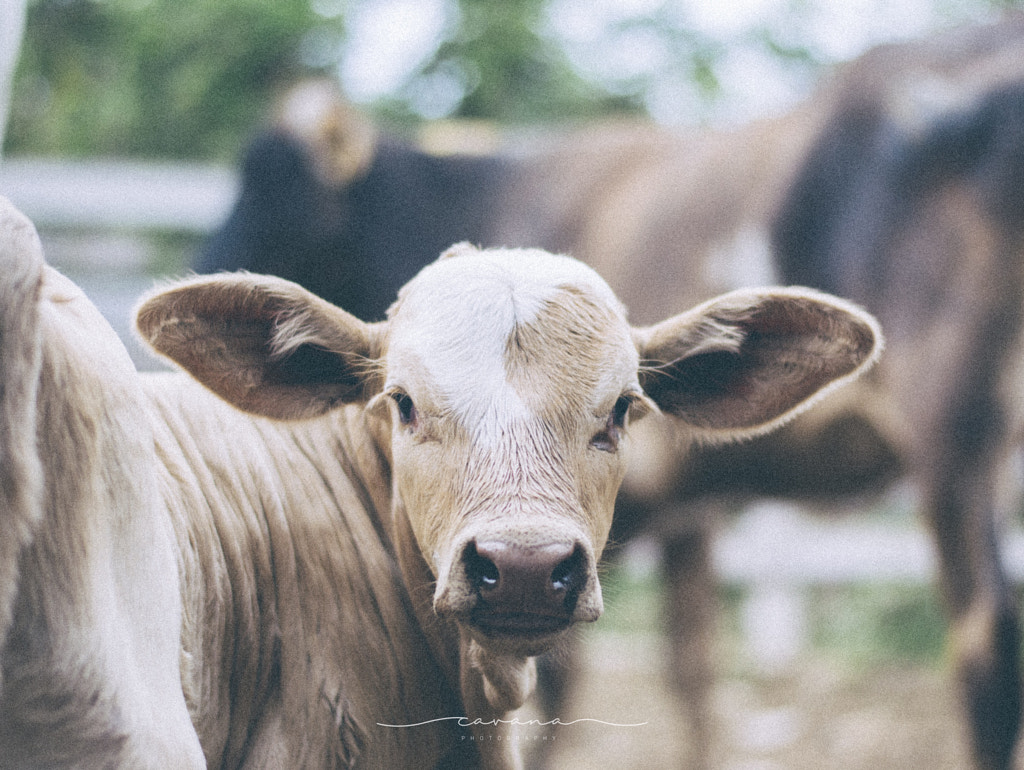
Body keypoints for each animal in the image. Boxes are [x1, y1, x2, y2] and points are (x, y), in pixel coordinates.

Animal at [195, 15, 1024, 765]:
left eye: (289, 200)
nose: (208, 260)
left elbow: (568, 688)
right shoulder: (689, 510)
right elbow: (692, 671)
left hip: (953, 442)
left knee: (987, 646)